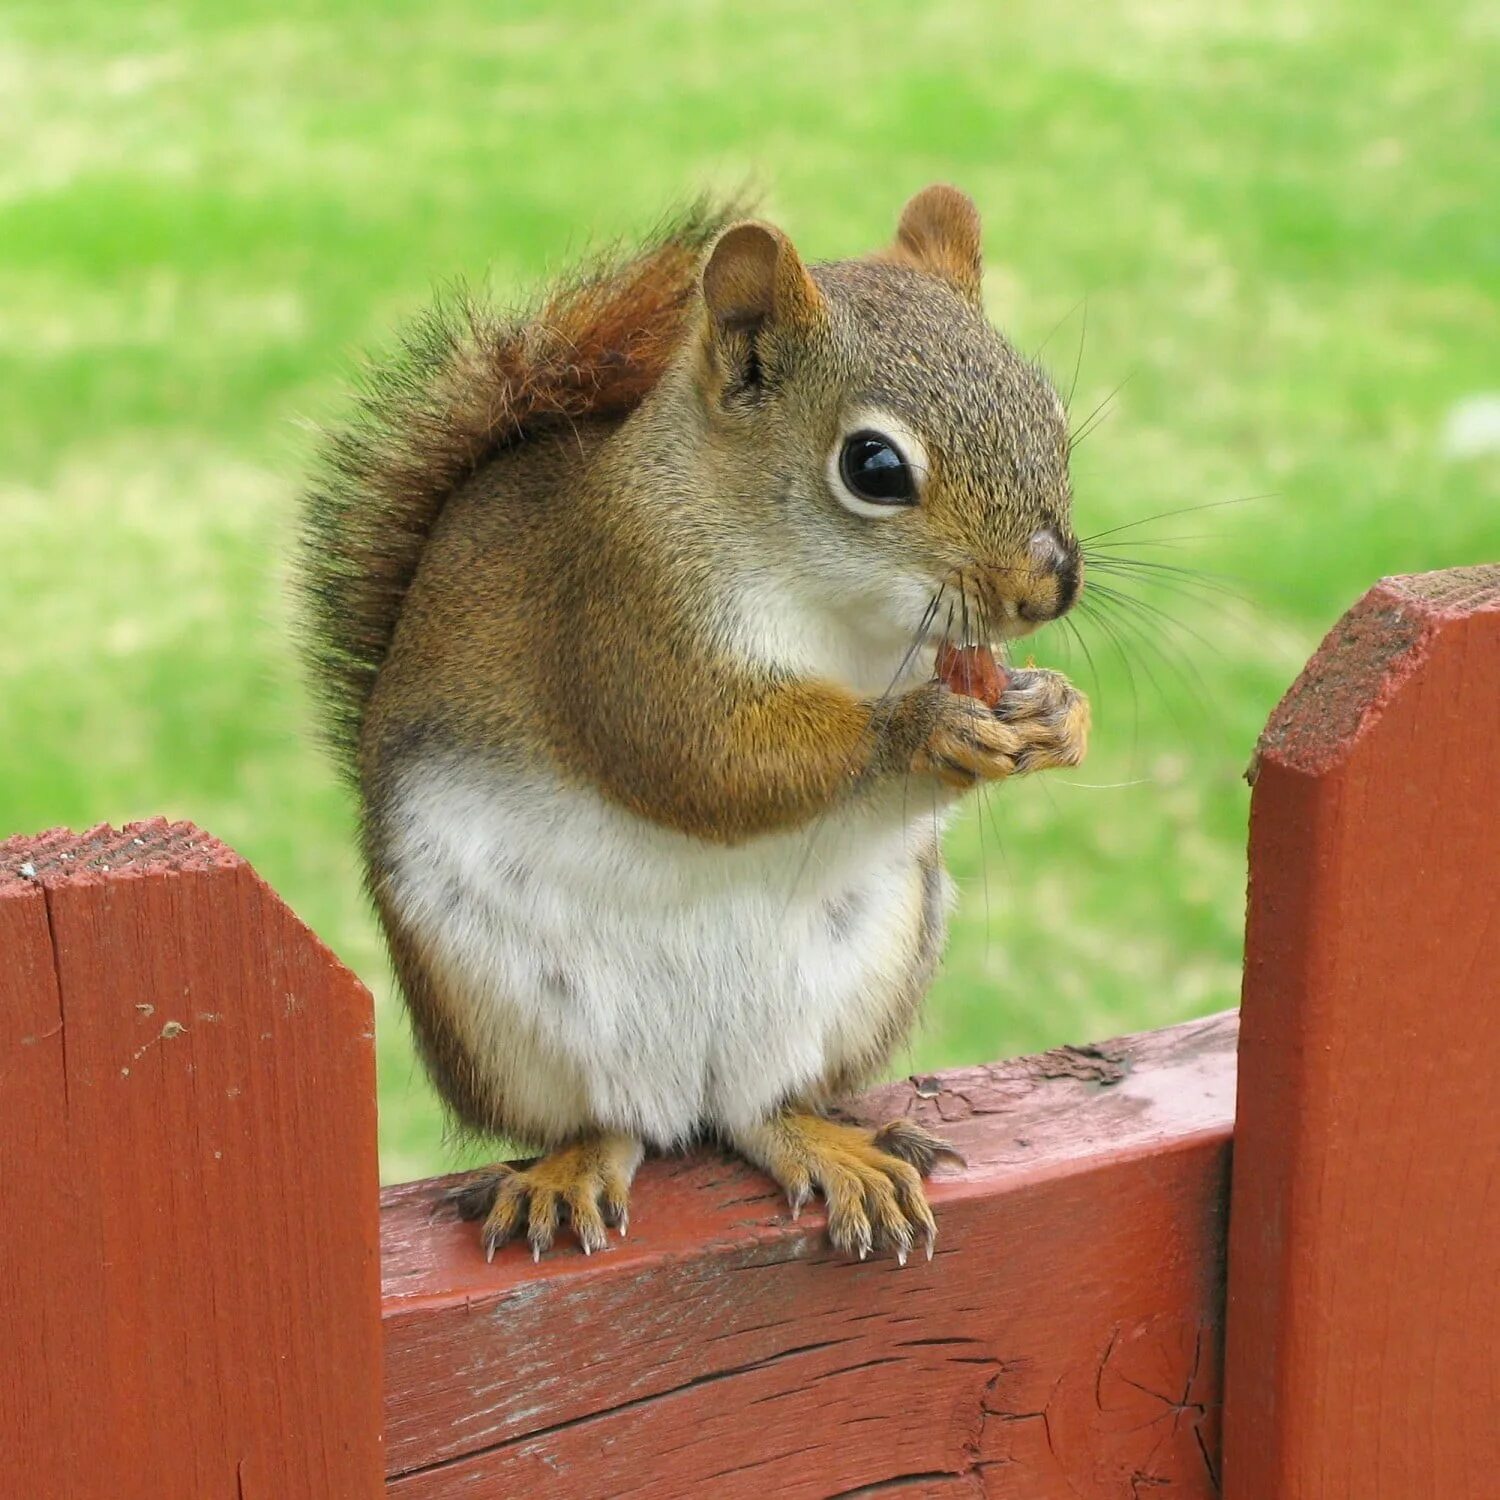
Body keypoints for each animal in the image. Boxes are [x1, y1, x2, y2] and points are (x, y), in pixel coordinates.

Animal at [295, 187, 1092, 1266]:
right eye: (874, 465)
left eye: (1048, 409)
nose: (1050, 589)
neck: (843, 617)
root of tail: (685, 1090)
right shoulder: (621, 611)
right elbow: (708, 760)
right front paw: (922, 726)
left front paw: (1057, 712)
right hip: (499, 1014)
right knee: (600, 1120)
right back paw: (567, 1172)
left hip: (862, 975)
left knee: (761, 1111)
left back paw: (831, 1149)